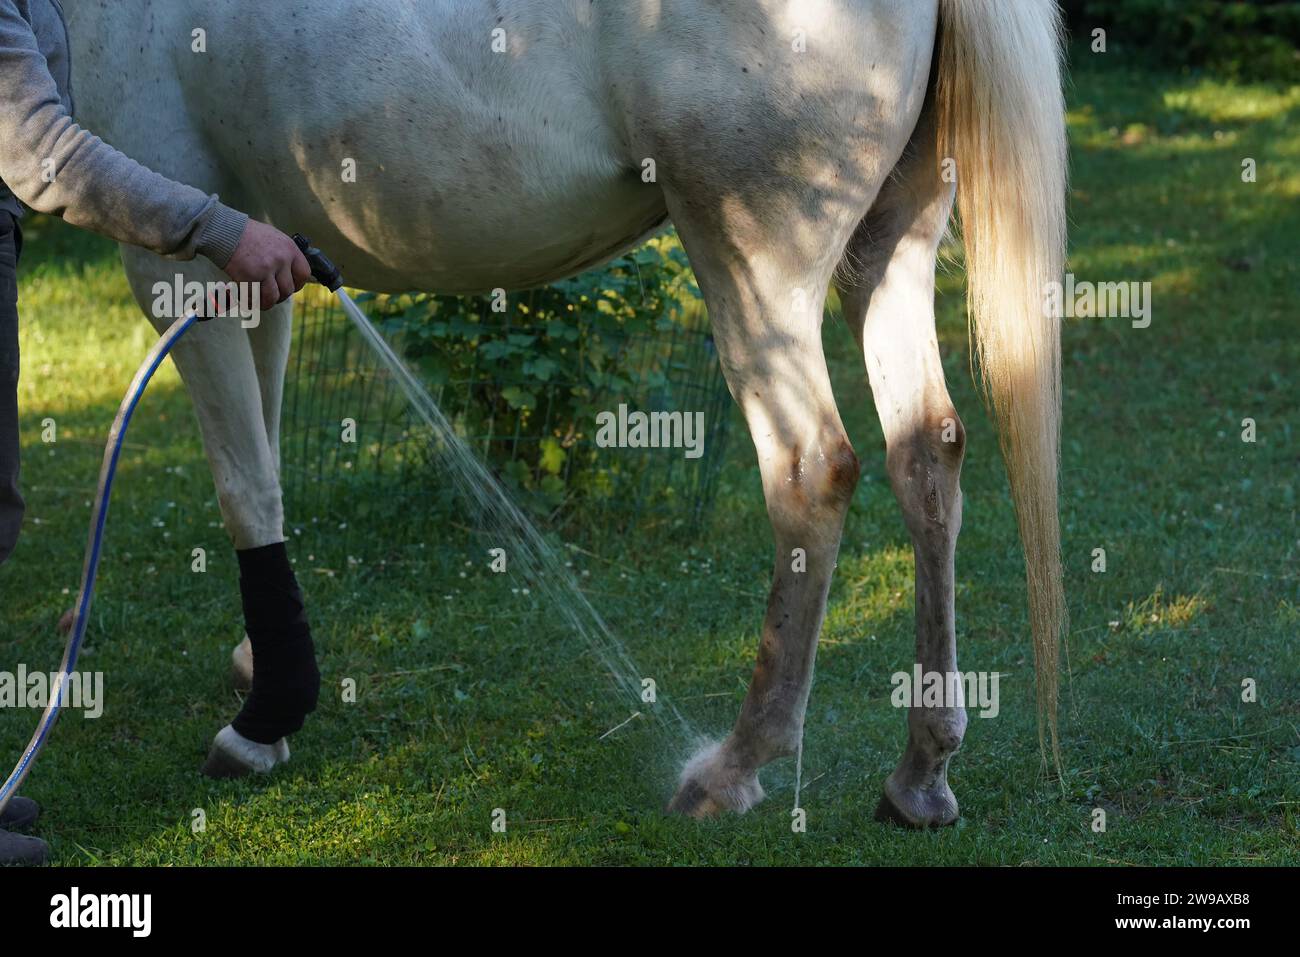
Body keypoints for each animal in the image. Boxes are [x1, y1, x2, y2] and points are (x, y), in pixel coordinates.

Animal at [58, 0, 1066, 821]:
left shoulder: (178, 263)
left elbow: (243, 484)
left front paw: (259, 722)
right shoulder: (253, 258)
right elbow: (264, 455)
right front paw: (259, 665)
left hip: (756, 270)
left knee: (811, 470)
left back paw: (732, 768)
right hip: (887, 248)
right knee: (926, 455)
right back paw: (920, 777)